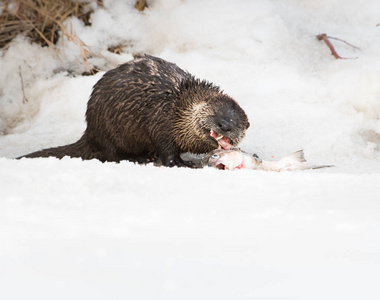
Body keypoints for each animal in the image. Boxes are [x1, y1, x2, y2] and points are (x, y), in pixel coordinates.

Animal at [20, 54, 249, 166]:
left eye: (236, 124)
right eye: (215, 114)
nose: (224, 125)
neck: (177, 109)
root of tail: (91, 132)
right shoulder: (161, 122)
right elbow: (167, 152)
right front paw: (182, 163)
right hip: (108, 131)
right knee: (111, 155)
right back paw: (138, 158)